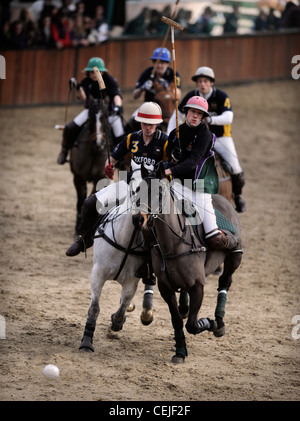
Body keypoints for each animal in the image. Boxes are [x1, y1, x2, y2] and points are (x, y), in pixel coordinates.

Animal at [135, 162, 243, 362]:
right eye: (138, 190)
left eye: (159, 192)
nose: (138, 219)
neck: (173, 243)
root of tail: (222, 198)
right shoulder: (165, 288)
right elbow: (177, 320)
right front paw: (180, 351)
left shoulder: (198, 285)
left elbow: (193, 324)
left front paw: (209, 322)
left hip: (234, 258)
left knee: (225, 281)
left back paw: (219, 321)